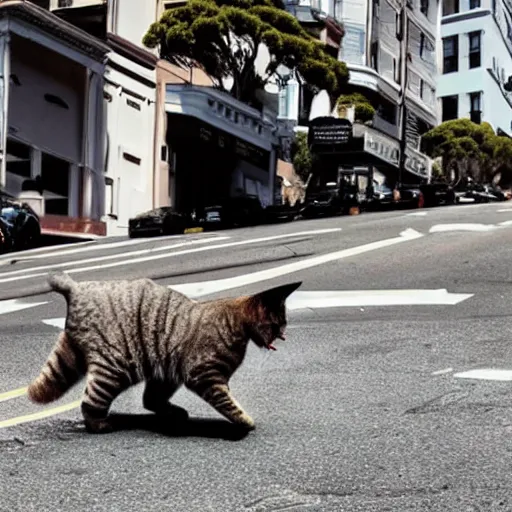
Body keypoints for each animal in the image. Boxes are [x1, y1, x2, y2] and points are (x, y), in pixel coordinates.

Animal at [27, 274, 300, 434]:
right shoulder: (204, 375)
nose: (284, 334)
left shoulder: (166, 374)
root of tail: (76, 287)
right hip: (115, 367)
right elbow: (227, 402)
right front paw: (244, 420)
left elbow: (152, 399)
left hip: (71, 359)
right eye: (277, 324)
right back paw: (99, 424)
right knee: (90, 401)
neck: (236, 321)